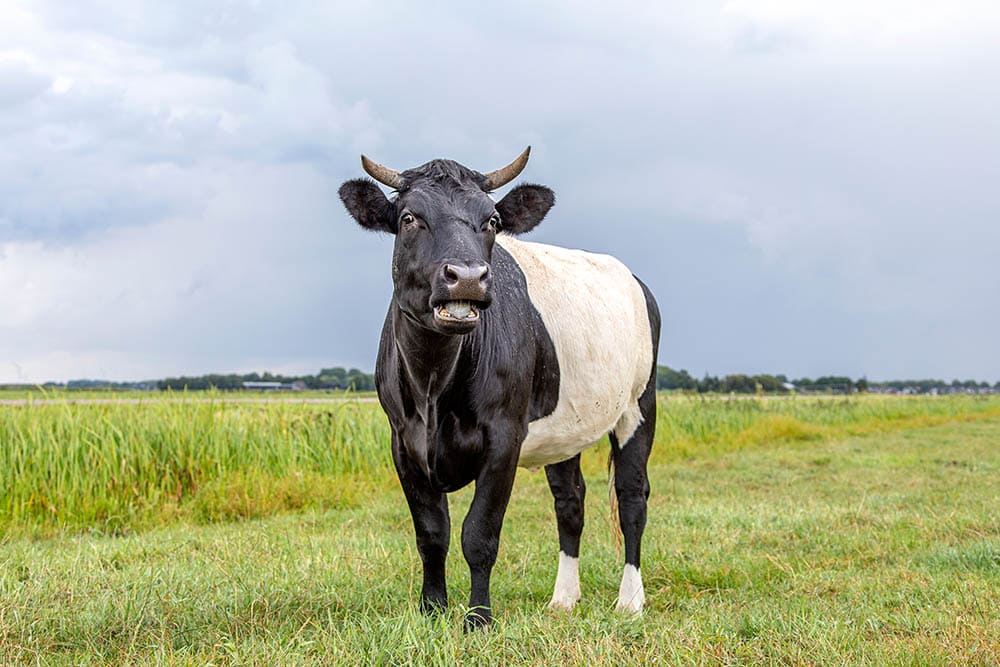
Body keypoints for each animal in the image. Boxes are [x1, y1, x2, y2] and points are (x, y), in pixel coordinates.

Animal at [340, 147, 660, 632]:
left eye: (491, 220)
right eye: (410, 218)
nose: (468, 276)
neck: (433, 386)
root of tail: (634, 279)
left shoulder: (504, 438)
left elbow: (479, 534)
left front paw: (478, 619)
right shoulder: (402, 442)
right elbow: (431, 533)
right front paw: (432, 609)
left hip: (640, 405)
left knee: (631, 497)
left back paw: (630, 601)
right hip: (564, 430)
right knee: (570, 501)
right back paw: (564, 599)